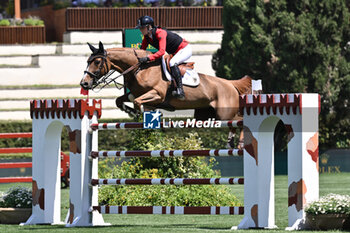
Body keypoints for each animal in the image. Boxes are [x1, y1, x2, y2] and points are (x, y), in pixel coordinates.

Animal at [80, 41, 252, 147]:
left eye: (97, 62)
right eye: (88, 61)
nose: (84, 83)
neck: (139, 68)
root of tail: (230, 84)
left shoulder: (157, 94)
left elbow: (137, 102)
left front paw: (142, 113)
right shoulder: (135, 93)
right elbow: (120, 100)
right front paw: (133, 113)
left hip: (224, 113)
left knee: (239, 120)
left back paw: (239, 143)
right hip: (207, 115)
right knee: (234, 123)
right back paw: (231, 142)